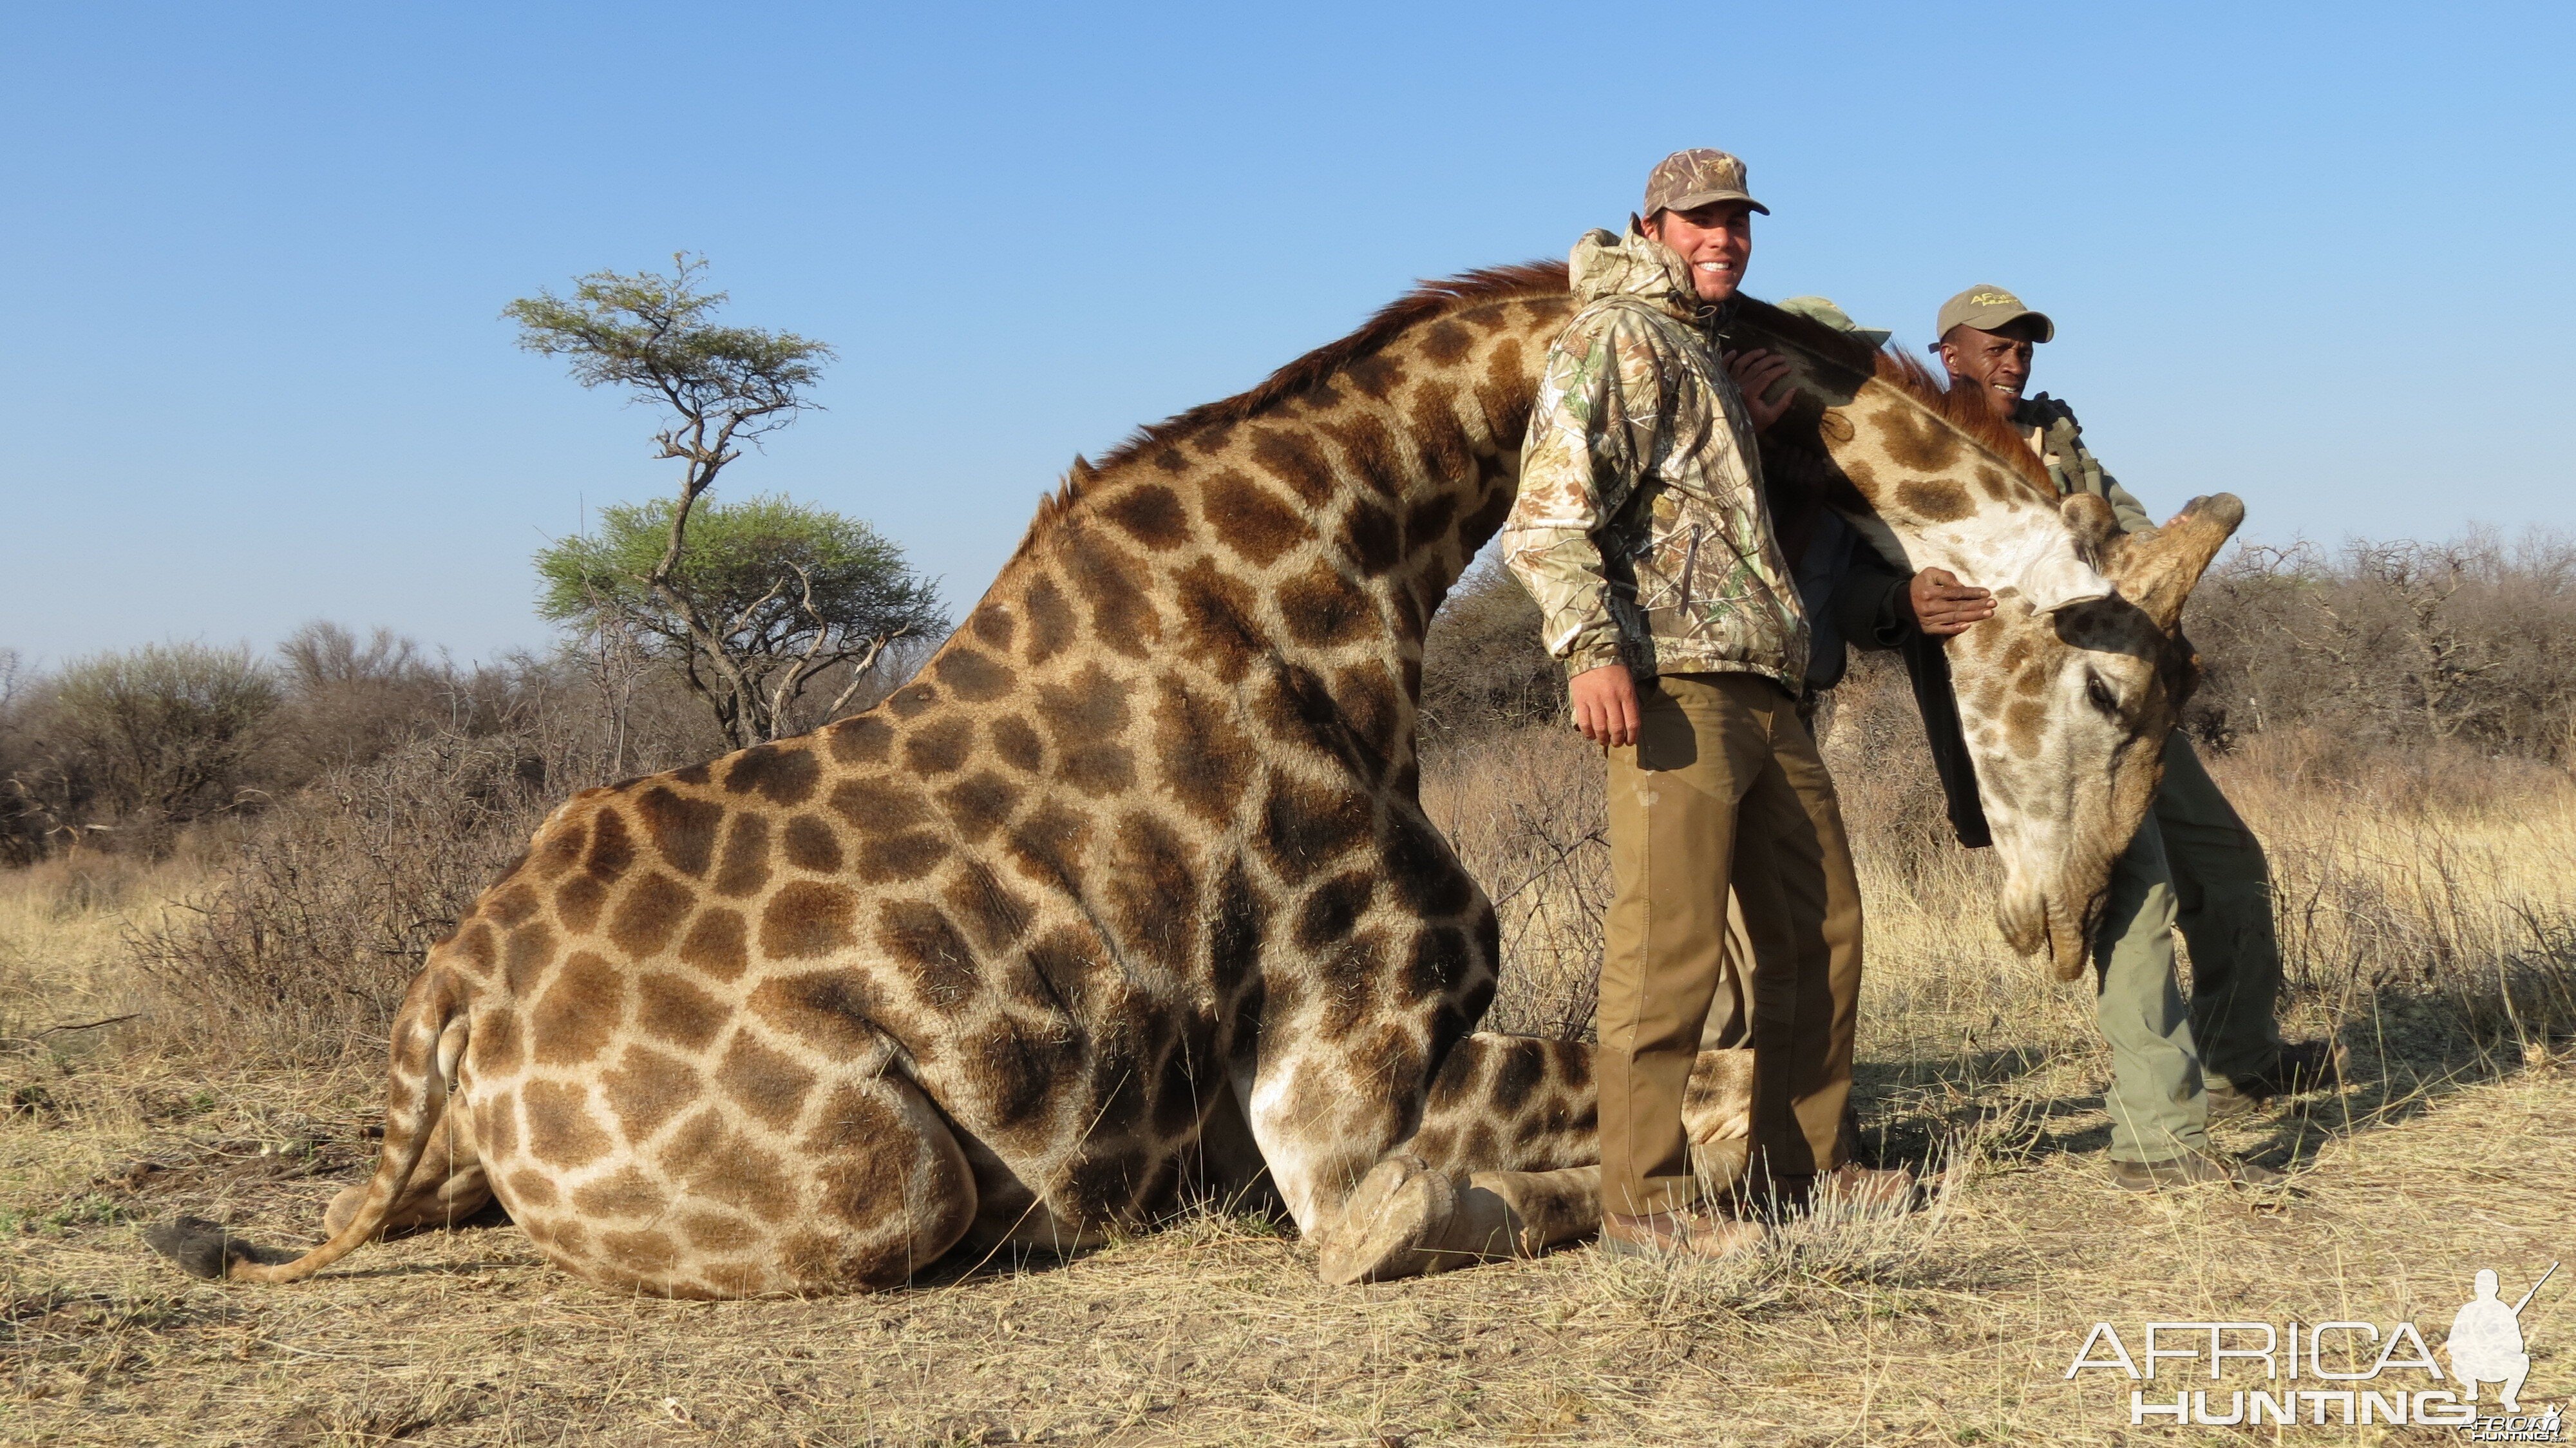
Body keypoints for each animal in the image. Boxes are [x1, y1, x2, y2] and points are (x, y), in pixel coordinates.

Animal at [146, 262, 2236, 1299]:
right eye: (2102, 682)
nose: (2054, 925)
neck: (1355, 568)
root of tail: (441, 1013)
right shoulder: (1333, 1077)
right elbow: (1506, 1175)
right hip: (879, 1173)